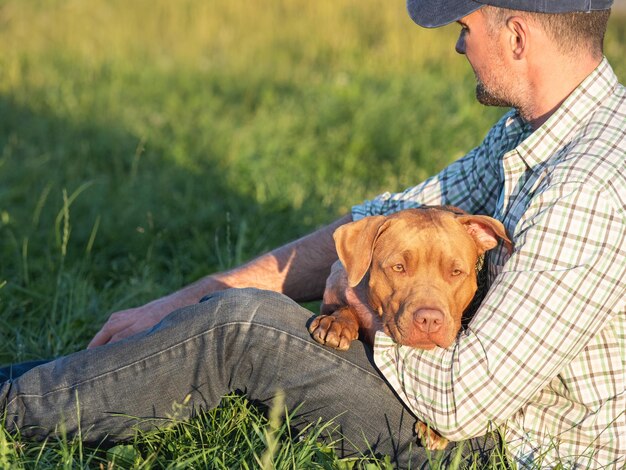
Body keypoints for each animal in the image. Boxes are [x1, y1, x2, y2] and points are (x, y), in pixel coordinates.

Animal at [306, 208, 508, 448]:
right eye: (399, 267)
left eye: (456, 272)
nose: (429, 319)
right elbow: (348, 308)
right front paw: (336, 323)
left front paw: (434, 430)